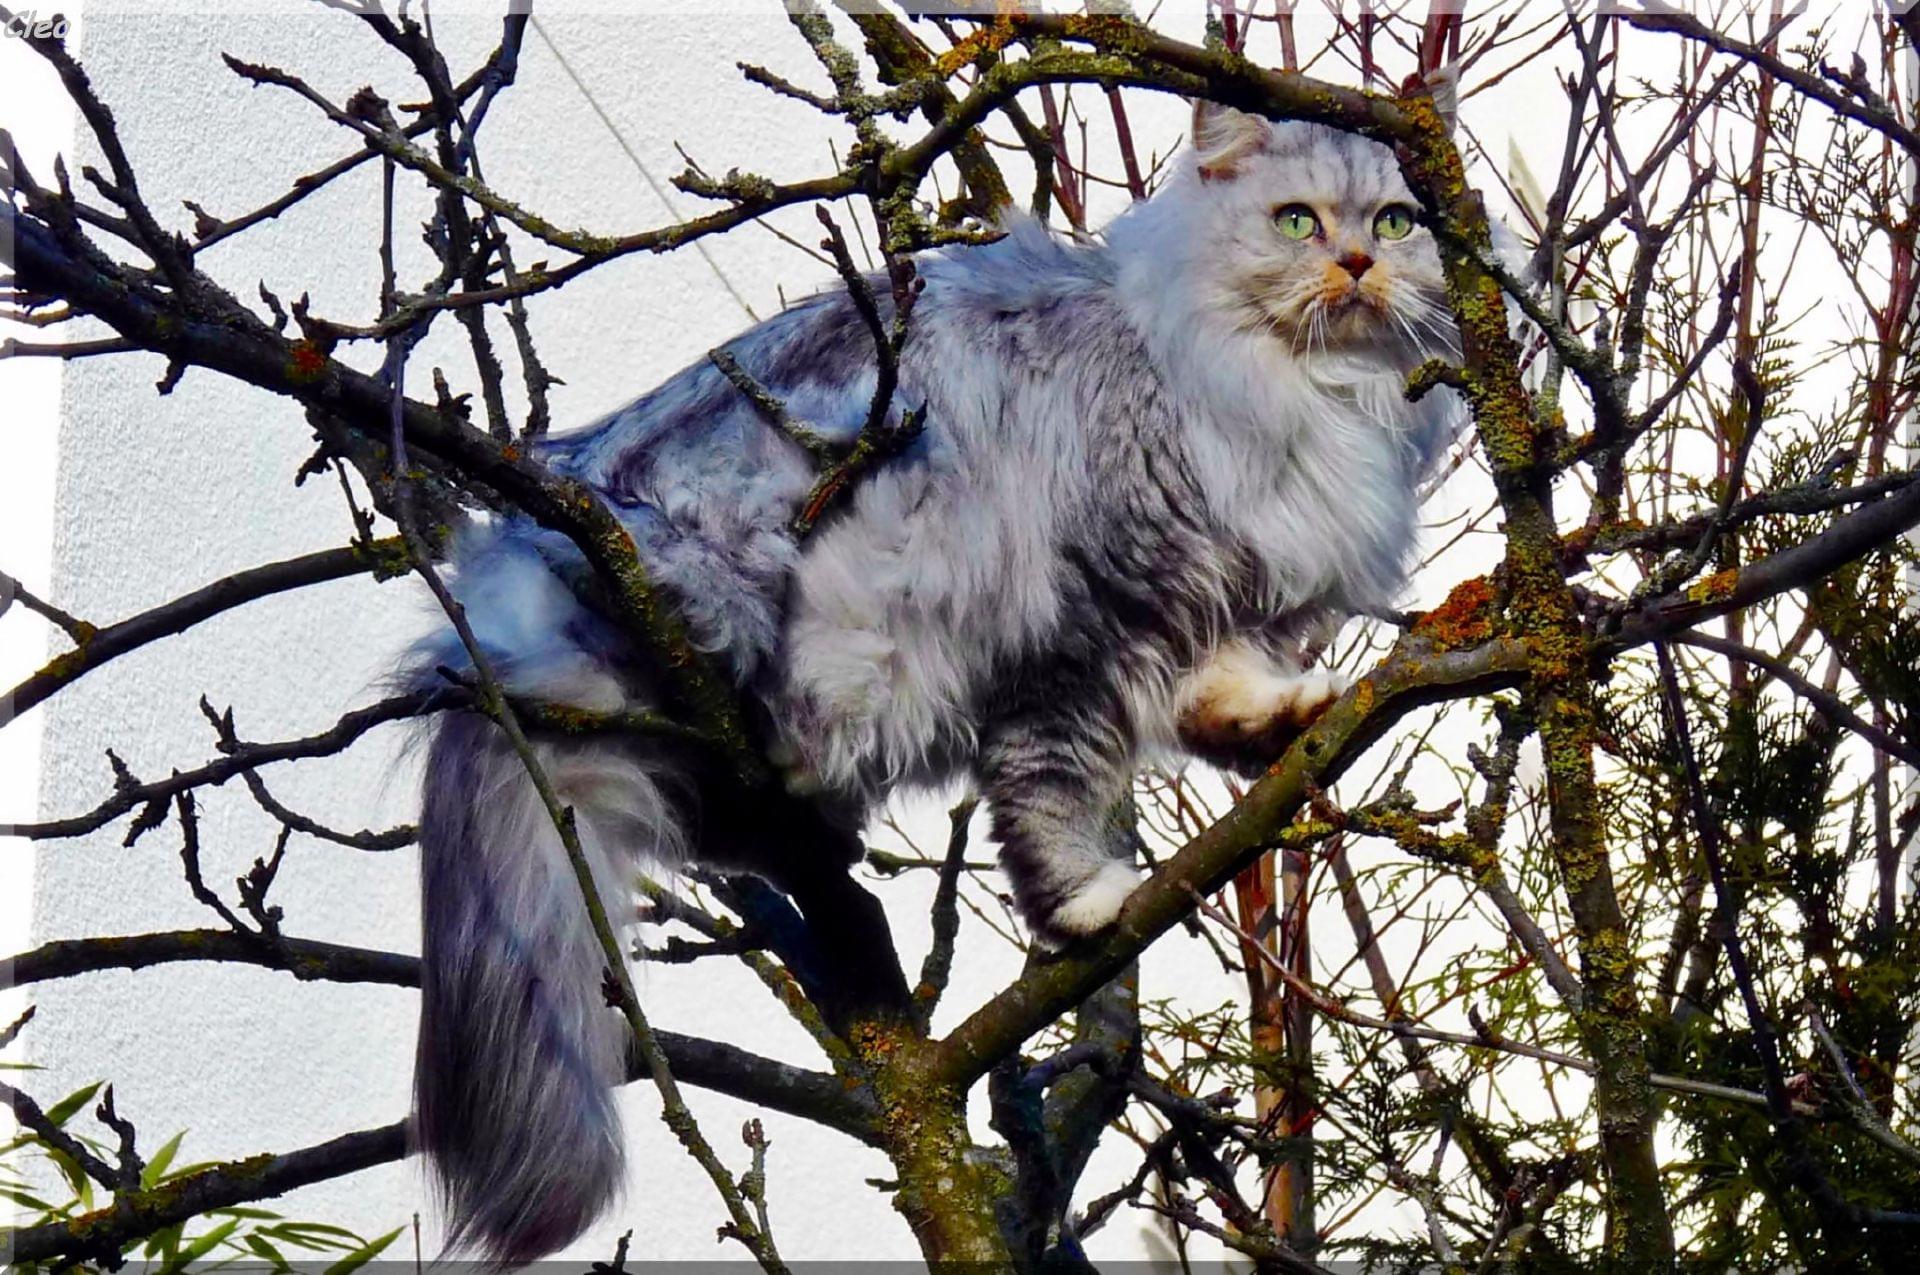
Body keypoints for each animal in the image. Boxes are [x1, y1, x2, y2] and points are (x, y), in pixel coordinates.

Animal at [407, 96, 1470, 1262]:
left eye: (1398, 220)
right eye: (1295, 222)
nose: (1360, 263)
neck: (1310, 400)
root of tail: (503, 622)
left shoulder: (1220, 600)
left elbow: (1219, 689)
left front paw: (1278, 719)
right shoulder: (1080, 626)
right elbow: (1054, 784)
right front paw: (1083, 902)